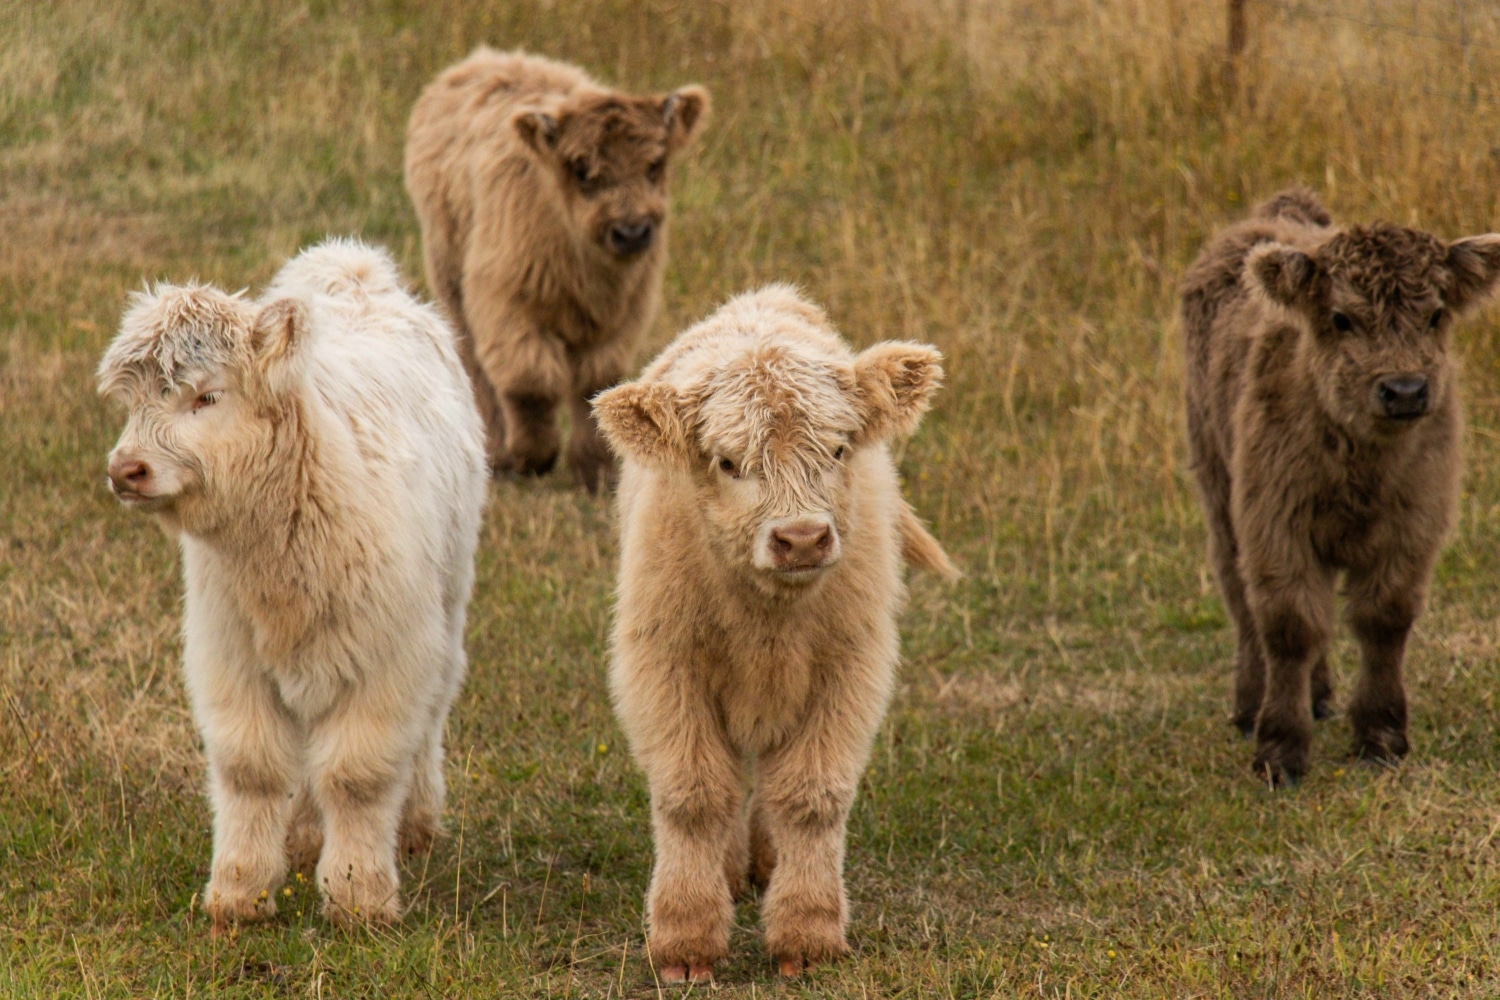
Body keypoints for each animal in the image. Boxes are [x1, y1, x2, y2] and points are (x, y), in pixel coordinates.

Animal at [93, 239, 489, 929]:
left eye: (207, 397)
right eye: (133, 402)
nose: (126, 470)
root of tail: (354, 270)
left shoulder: (389, 658)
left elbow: (358, 774)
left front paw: (359, 898)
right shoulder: (229, 654)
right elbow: (250, 768)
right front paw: (239, 893)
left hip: (448, 602)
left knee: (433, 709)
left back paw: (413, 824)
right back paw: (302, 836)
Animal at [591, 284, 954, 983]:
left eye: (838, 450)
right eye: (728, 462)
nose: (802, 539)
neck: (769, 623)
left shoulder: (850, 668)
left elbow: (811, 796)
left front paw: (807, 935)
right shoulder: (664, 665)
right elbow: (694, 795)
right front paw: (684, 942)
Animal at [1182, 185, 1500, 779]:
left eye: (1435, 314)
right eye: (1341, 318)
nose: (1404, 390)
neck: (1363, 472)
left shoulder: (1415, 525)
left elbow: (1383, 619)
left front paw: (1381, 737)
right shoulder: (1273, 523)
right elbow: (1289, 625)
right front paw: (1279, 750)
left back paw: (1320, 696)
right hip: (1217, 486)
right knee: (1240, 597)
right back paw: (1249, 706)